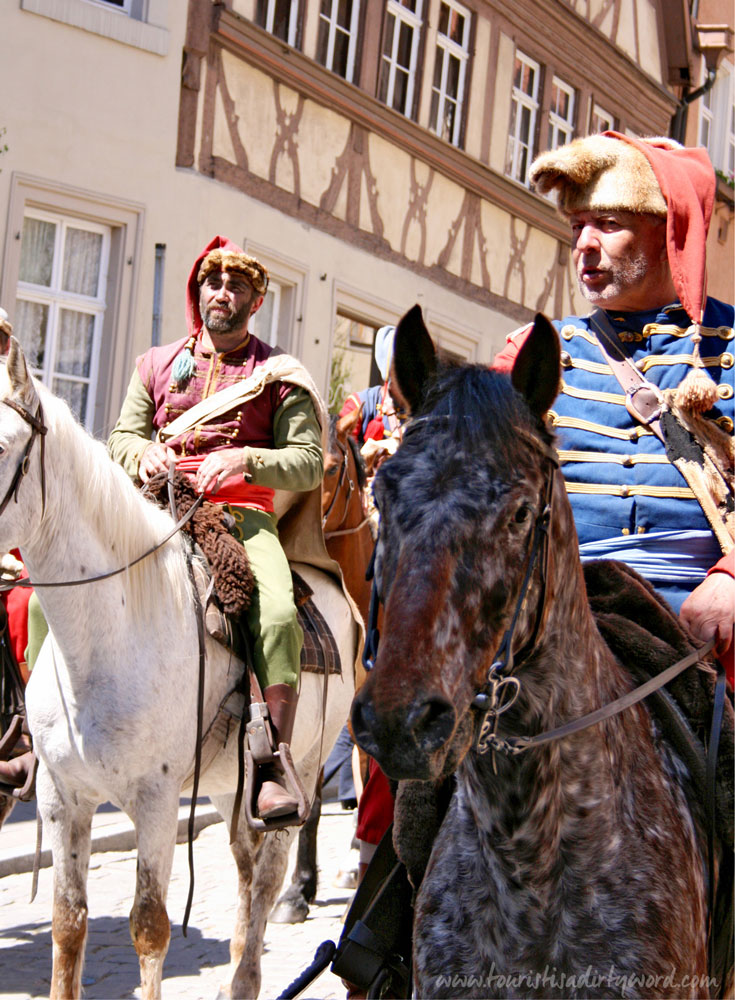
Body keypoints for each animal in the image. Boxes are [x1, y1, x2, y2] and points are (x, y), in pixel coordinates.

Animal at [0, 340, 356, 996]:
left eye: (4, 445)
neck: (104, 639)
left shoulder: (157, 799)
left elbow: (149, 927)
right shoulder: (63, 797)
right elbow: (67, 922)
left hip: (301, 769)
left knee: (268, 877)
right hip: (228, 784)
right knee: (244, 866)